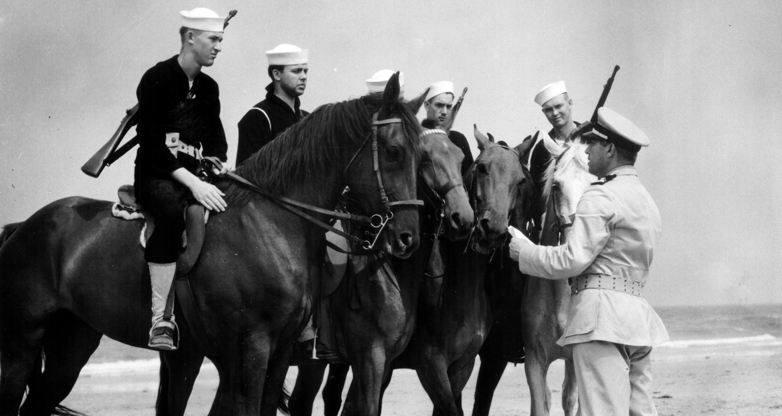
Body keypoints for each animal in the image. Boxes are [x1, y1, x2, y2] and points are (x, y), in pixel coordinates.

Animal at [0, 76, 426, 416]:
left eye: (421, 156)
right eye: (394, 152)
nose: (408, 238)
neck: (269, 222)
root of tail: (23, 227)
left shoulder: (280, 351)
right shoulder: (251, 349)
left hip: (71, 347)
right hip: (20, 345)